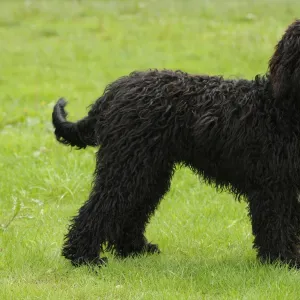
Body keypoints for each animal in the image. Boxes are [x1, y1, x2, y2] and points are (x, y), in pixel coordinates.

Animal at [52, 20, 300, 268]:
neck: (279, 107)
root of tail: (115, 90)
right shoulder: (274, 184)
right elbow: (278, 224)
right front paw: (284, 259)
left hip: (149, 171)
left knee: (132, 209)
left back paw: (133, 248)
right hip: (127, 167)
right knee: (101, 206)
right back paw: (83, 256)